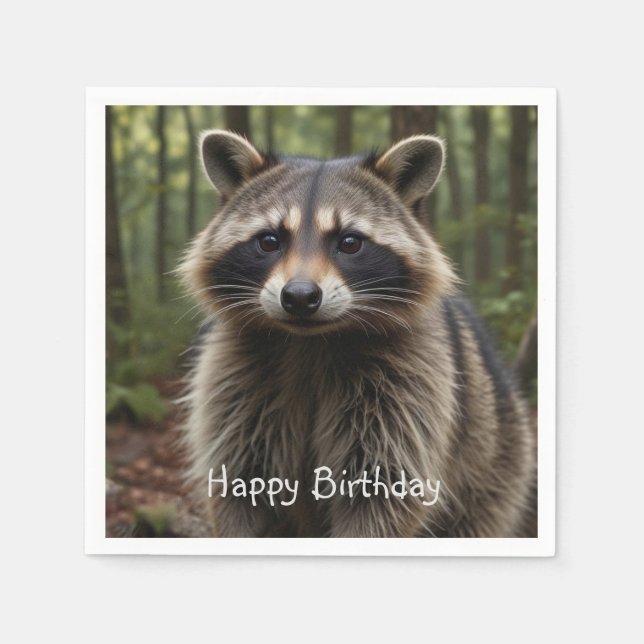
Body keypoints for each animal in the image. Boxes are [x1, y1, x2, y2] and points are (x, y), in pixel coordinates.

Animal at [179, 129, 536, 538]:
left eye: (349, 242)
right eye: (269, 241)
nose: (299, 297)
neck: (310, 342)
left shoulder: (409, 390)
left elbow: (382, 496)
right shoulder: (234, 384)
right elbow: (239, 489)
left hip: (495, 460)